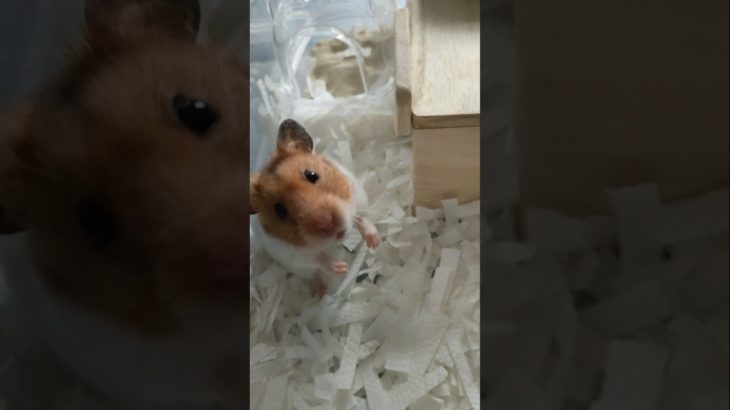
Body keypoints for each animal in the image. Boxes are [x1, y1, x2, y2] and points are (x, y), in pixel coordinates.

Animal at [250, 119, 380, 297]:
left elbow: (362, 219)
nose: (327, 222)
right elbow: (319, 259)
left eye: (311, 175)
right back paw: (320, 292)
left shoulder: (359, 198)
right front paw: (341, 269)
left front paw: (375, 242)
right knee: (311, 276)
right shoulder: (295, 254)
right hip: (297, 268)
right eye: (279, 210)